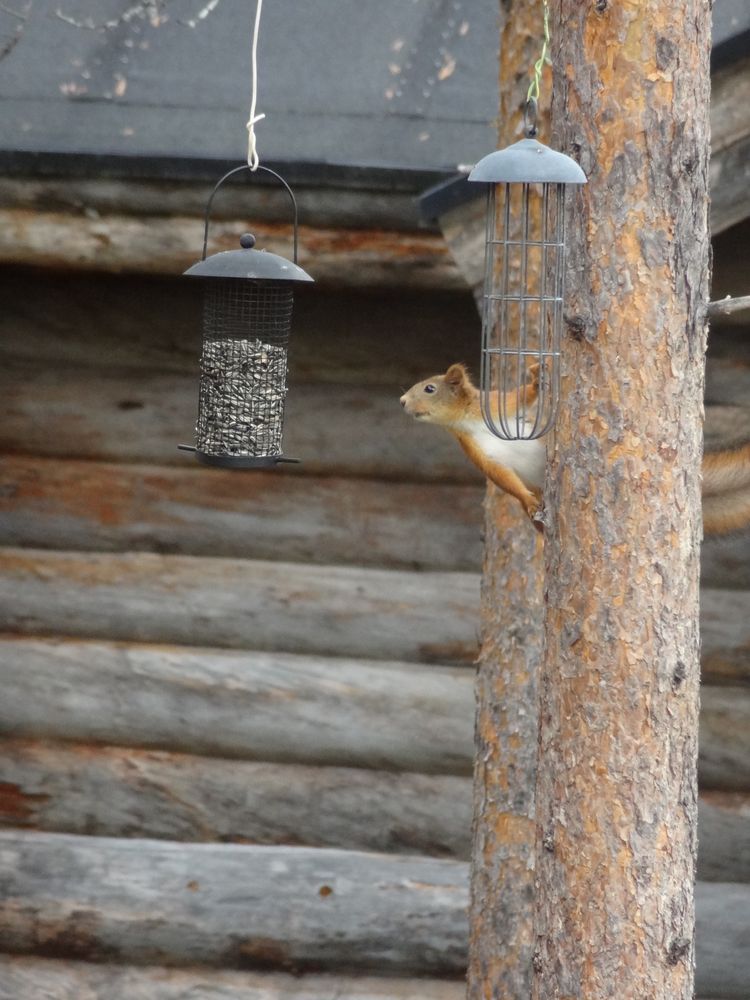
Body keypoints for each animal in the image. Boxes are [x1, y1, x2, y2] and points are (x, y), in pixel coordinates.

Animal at [402, 364, 750, 540]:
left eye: (429, 388)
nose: (402, 401)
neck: (469, 420)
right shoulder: (478, 453)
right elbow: (504, 479)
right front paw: (526, 500)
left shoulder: (501, 404)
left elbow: (525, 396)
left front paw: (536, 377)